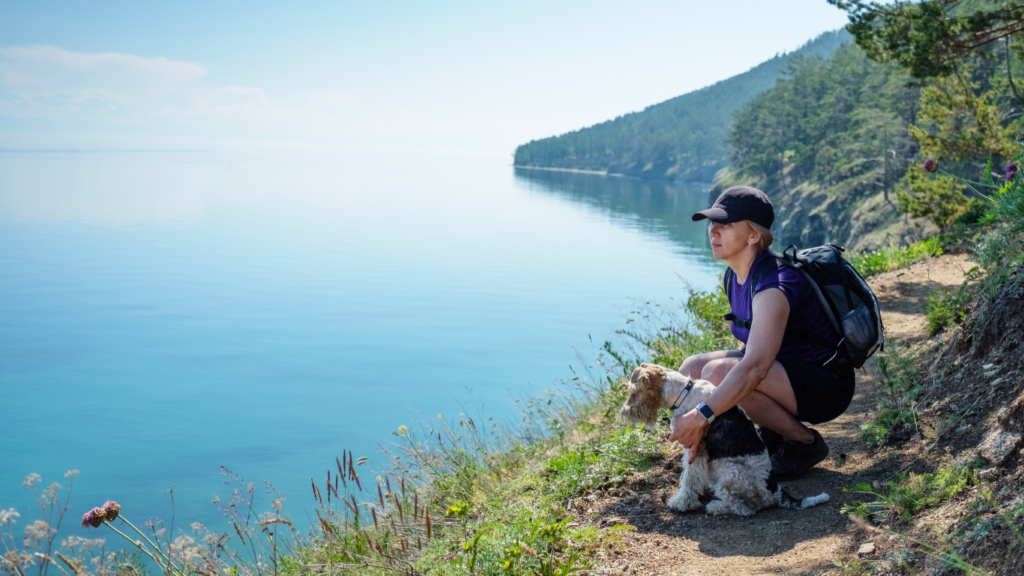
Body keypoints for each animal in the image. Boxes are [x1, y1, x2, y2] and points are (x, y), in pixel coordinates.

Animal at [618, 360, 827, 512]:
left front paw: (682, 503)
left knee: (746, 507)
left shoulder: (695, 449)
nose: (623, 413)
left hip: (730, 474)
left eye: (634, 392)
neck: (683, 393)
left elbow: (689, 479)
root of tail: (775, 491)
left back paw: (716, 506)